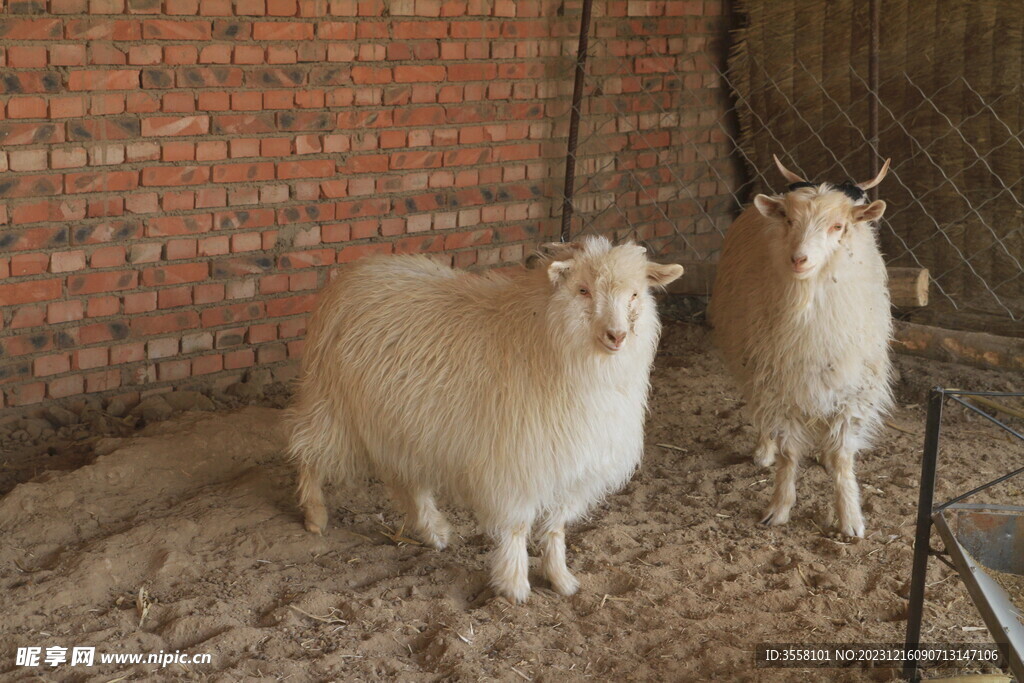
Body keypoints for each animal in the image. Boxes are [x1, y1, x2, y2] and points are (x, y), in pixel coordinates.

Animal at [286, 237, 679, 602]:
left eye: (635, 294)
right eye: (583, 289)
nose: (617, 335)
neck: (542, 338)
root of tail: (355, 271)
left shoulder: (571, 465)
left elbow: (555, 529)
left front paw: (561, 579)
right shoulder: (519, 463)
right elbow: (518, 527)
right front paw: (515, 585)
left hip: (403, 419)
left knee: (406, 477)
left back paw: (433, 531)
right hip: (331, 402)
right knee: (308, 453)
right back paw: (315, 516)